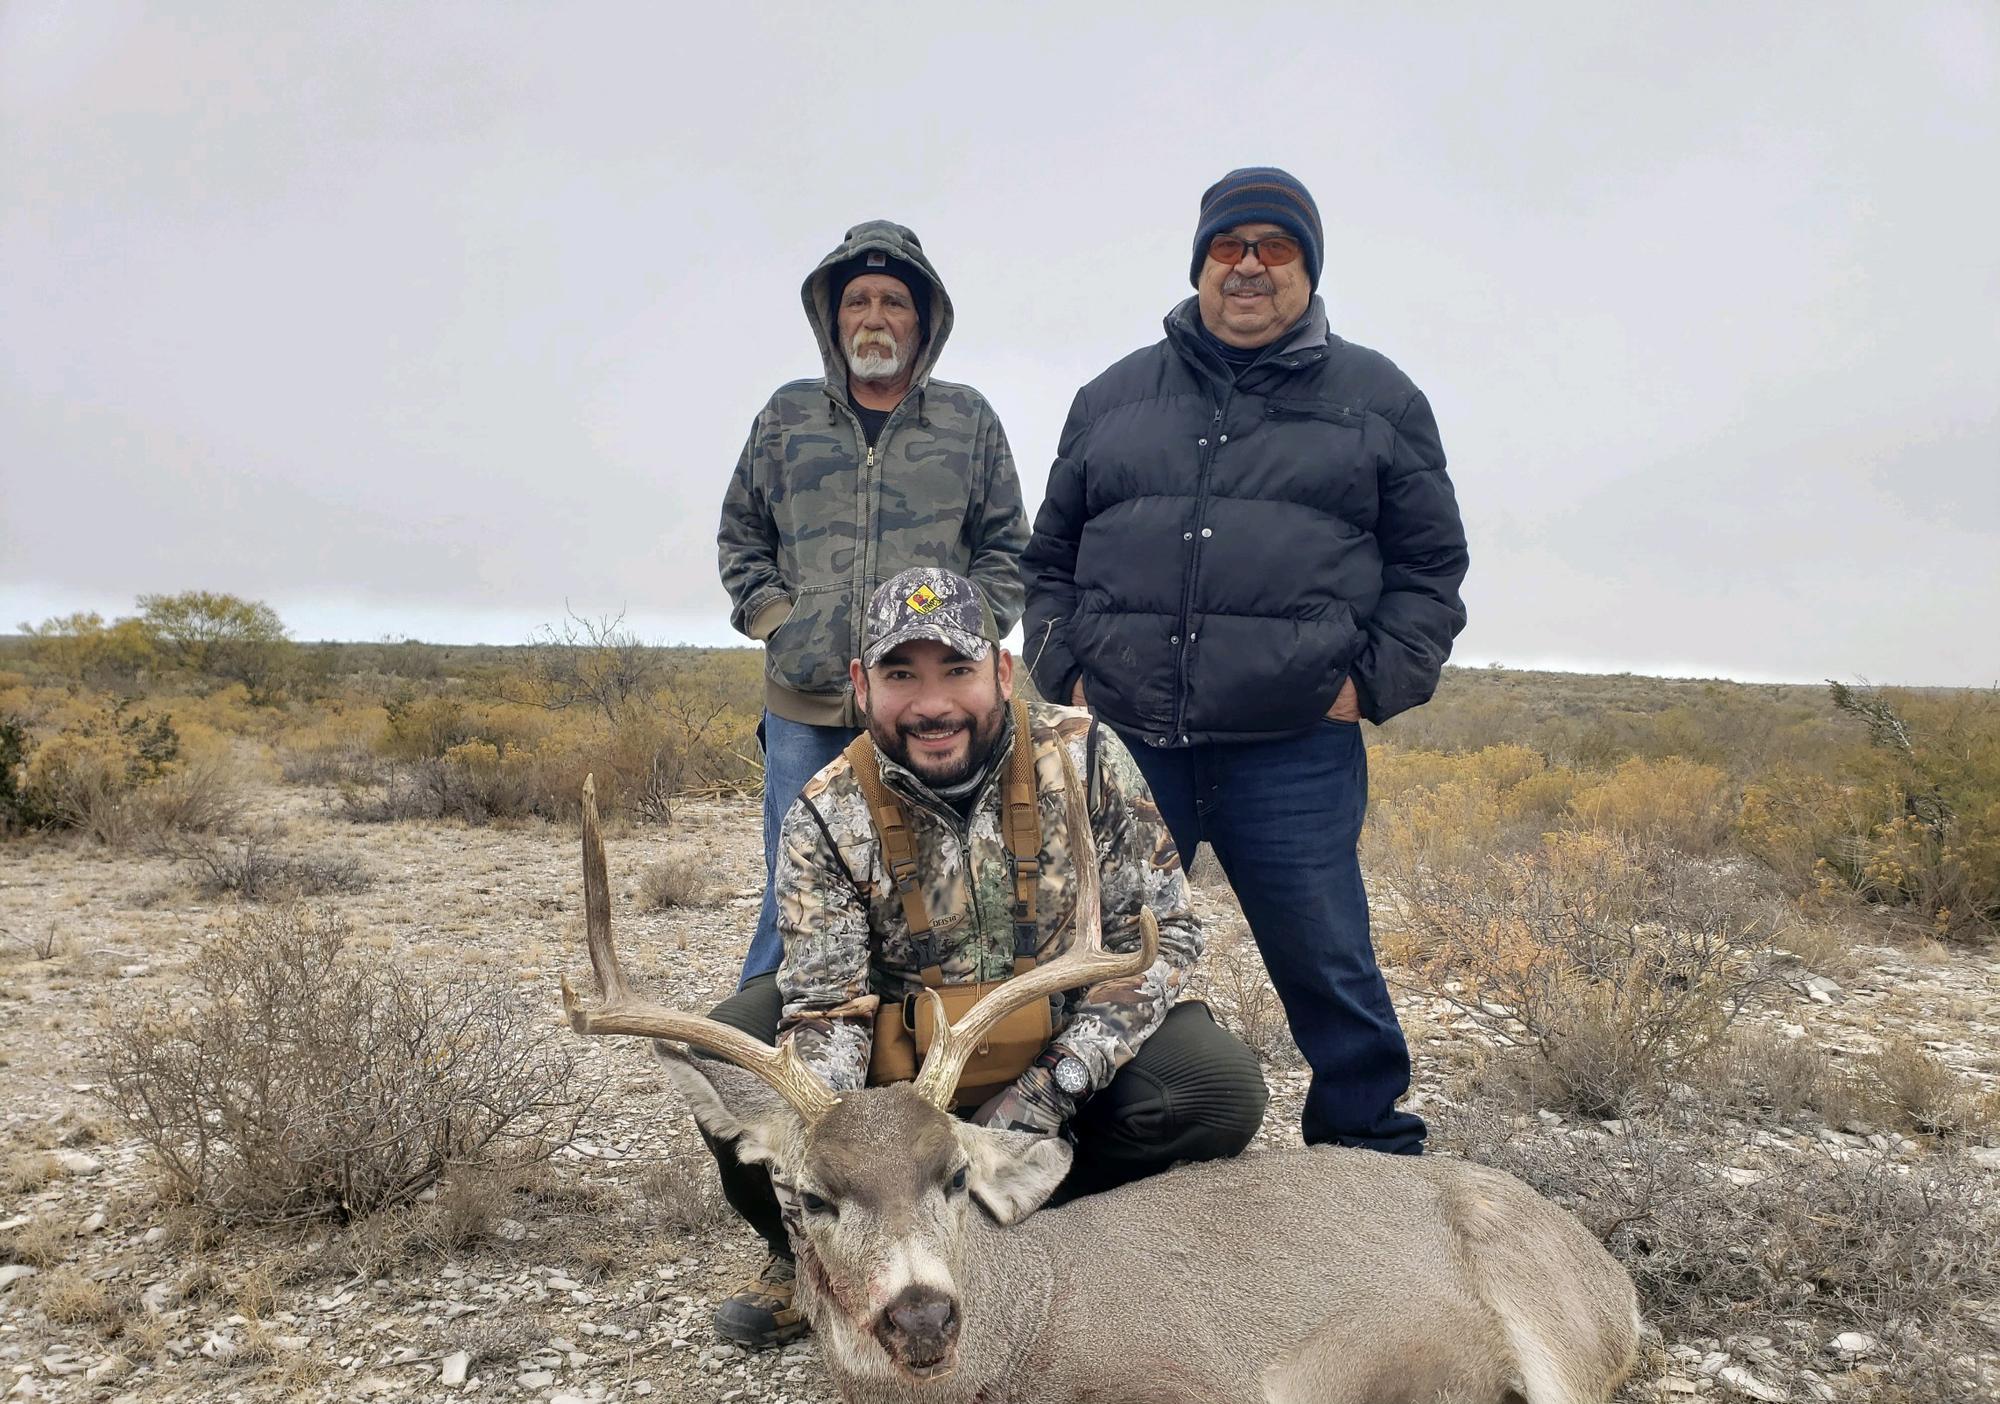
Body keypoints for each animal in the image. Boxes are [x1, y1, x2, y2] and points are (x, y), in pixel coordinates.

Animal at [560, 768, 1640, 1404]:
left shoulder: (1198, 1378)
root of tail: (1607, 1270)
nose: (923, 1318)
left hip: (1556, 1336)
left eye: (955, 1177)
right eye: (811, 1197)